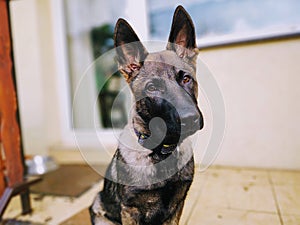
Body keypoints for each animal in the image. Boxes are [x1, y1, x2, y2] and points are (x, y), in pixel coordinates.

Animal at [90, 5, 204, 225]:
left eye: (186, 79)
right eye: (152, 87)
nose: (190, 118)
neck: (161, 151)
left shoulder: (177, 206)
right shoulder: (130, 210)